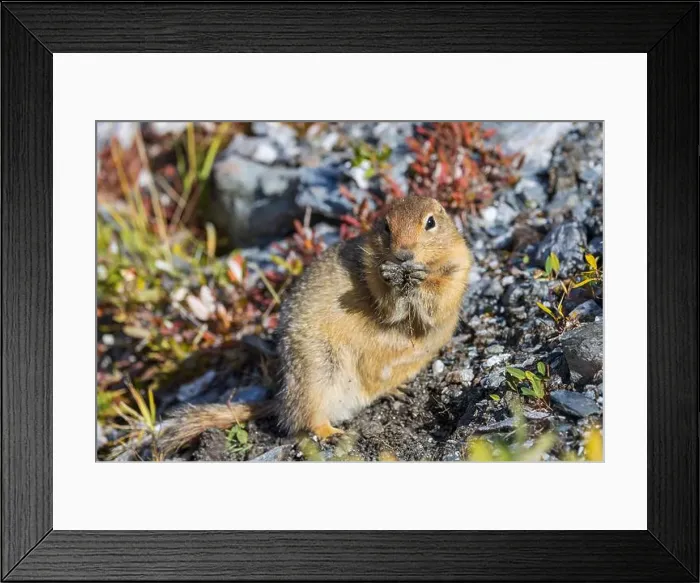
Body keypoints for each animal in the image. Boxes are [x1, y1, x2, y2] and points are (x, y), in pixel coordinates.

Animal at [160, 195, 471, 454]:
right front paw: (394, 280)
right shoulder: (371, 271)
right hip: (317, 370)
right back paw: (330, 433)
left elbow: (438, 301)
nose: (403, 254)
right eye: (385, 226)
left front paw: (420, 278)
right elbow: (387, 306)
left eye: (430, 222)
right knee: (303, 418)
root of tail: (281, 399)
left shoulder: (457, 268)